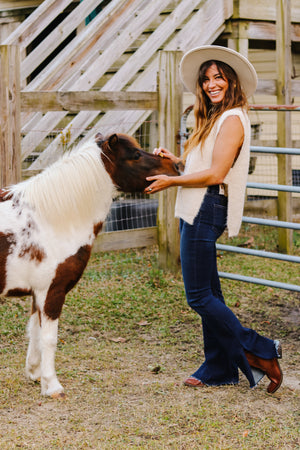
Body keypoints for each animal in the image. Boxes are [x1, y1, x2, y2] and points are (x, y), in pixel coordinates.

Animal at [0, 134, 178, 398]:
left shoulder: (38, 293)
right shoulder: (51, 291)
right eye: (135, 155)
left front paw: (34, 373)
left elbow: (34, 332)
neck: (48, 219)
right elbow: (49, 338)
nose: (176, 165)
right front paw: (52, 385)